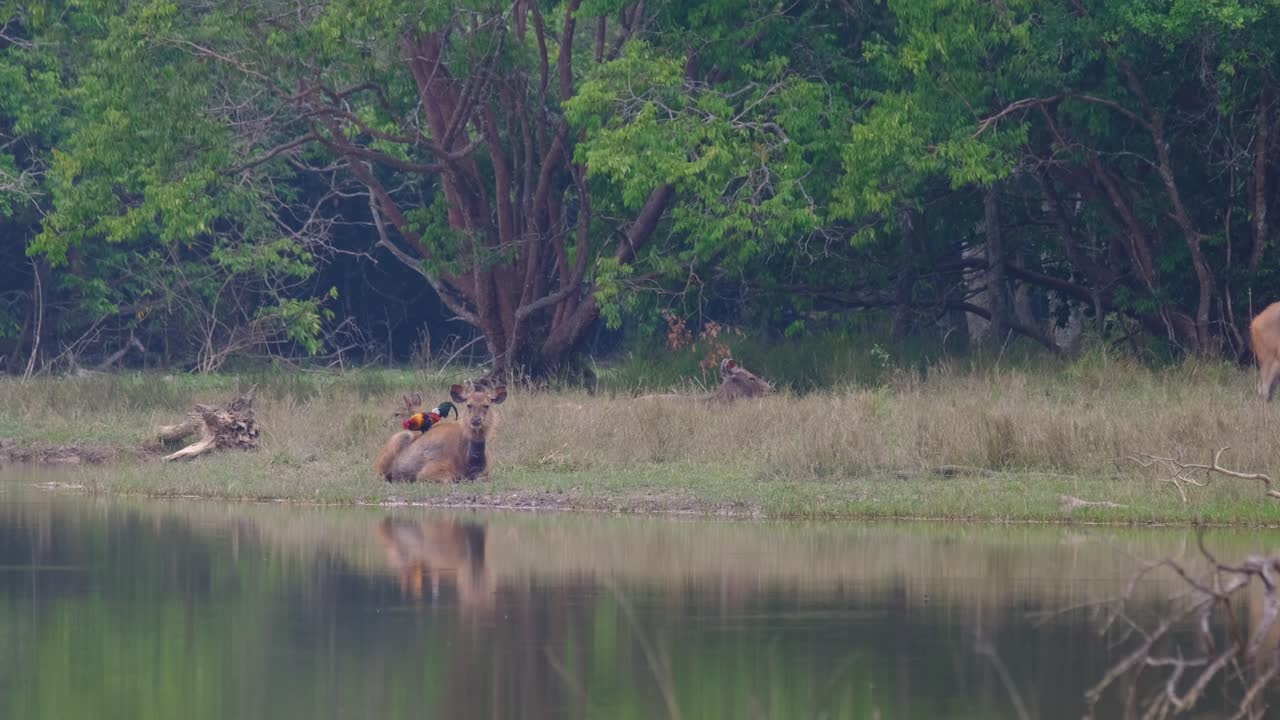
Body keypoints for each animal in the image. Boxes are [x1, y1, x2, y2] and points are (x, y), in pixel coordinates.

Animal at [374, 381, 507, 482]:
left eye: (487, 405)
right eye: (468, 405)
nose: (476, 419)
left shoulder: (487, 473)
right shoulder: (429, 470)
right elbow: (450, 478)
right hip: (396, 443)